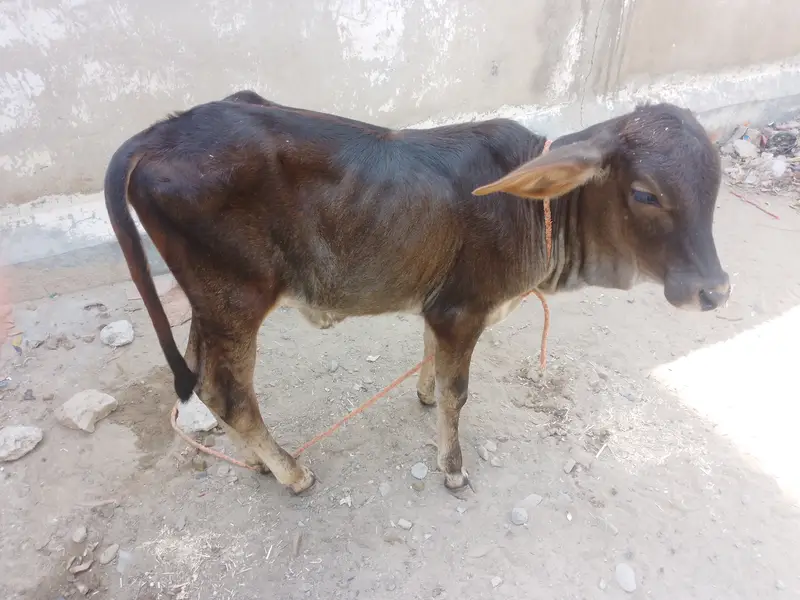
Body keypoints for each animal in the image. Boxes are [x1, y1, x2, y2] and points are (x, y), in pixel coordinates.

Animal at [104, 90, 729, 495]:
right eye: (646, 194)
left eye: (716, 186)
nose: (715, 290)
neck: (535, 210)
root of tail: (159, 133)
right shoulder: (462, 311)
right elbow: (458, 395)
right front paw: (452, 467)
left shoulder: (439, 307)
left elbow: (430, 364)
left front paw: (424, 394)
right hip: (236, 299)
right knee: (228, 392)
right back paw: (292, 473)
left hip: (208, 305)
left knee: (201, 378)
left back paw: (259, 462)